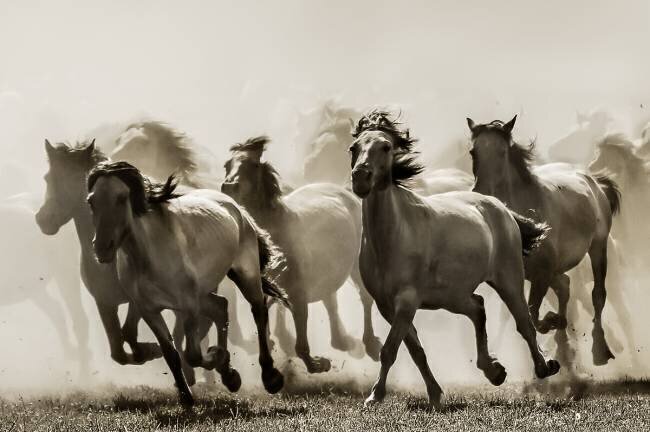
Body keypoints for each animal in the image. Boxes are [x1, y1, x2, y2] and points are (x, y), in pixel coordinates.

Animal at [86, 161, 287, 405]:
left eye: (122, 198)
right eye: (91, 201)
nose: (101, 248)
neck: (147, 255)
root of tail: (236, 207)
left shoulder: (188, 305)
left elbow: (192, 354)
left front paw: (215, 356)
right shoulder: (148, 310)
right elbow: (170, 352)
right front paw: (186, 396)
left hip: (245, 274)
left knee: (258, 311)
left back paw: (270, 377)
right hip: (203, 293)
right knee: (221, 307)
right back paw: (229, 376)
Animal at [221, 136, 382, 373]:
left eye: (254, 165)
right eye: (227, 165)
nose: (228, 187)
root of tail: (346, 193)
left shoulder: (298, 293)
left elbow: (300, 338)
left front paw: (316, 364)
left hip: (355, 266)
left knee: (364, 298)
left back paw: (369, 344)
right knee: (330, 300)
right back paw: (341, 341)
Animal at [349, 109, 559, 410]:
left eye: (386, 147)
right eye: (354, 148)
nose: (361, 178)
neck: (392, 236)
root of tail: (501, 207)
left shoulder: (407, 301)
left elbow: (389, 350)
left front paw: (374, 396)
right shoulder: (387, 306)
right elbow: (415, 351)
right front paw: (435, 394)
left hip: (508, 281)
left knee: (524, 323)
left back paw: (544, 367)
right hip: (452, 296)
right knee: (478, 307)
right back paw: (494, 370)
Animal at [467, 115, 621, 371]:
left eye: (502, 151)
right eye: (473, 151)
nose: (481, 192)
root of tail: (593, 181)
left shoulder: (542, 273)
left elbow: (533, 315)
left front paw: (552, 323)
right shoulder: (525, 276)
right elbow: (532, 314)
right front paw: (555, 325)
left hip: (598, 247)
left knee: (597, 294)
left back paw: (600, 351)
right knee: (565, 285)